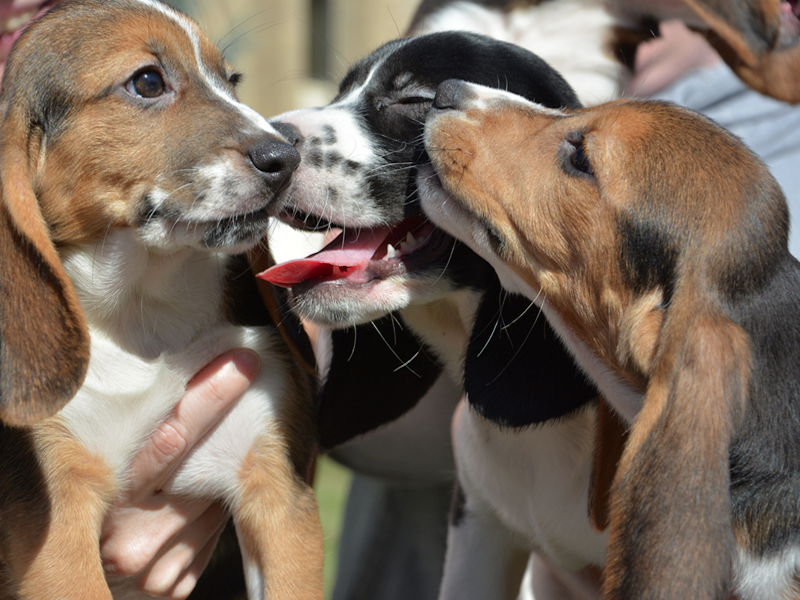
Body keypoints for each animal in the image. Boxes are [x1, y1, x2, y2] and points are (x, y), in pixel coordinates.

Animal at [0, 1, 324, 600]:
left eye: (232, 80)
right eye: (148, 82)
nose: (287, 157)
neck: (143, 311)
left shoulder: (276, 491)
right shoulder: (57, 529)